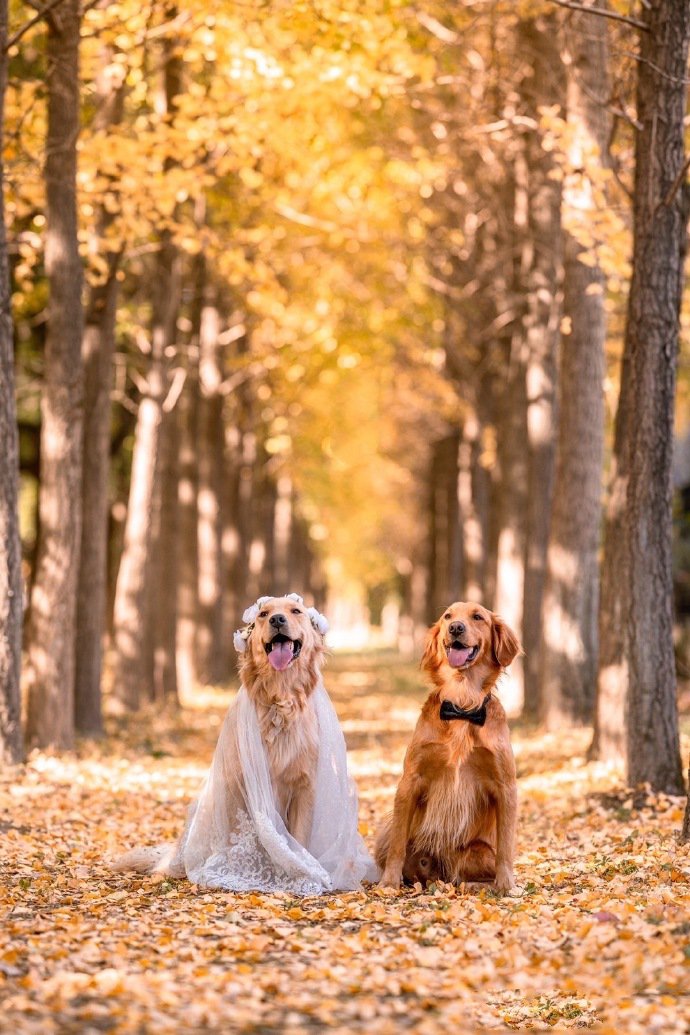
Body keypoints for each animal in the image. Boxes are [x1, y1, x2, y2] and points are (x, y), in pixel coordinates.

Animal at [112, 596, 378, 894]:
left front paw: (301, 874)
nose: (277, 620)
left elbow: (297, 841)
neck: (279, 702)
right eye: (263, 614)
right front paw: (240, 872)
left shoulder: (304, 787)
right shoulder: (238, 785)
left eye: (295, 611)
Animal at [374, 604, 521, 894]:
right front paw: (389, 882)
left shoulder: (505, 785)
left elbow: (506, 848)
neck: (462, 705)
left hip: (479, 852)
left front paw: (506, 885)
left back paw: (477, 885)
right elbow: (397, 844)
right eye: (448, 617)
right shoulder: (411, 780)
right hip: (387, 831)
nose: (455, 628)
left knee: (467, 873)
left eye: (478, 617)